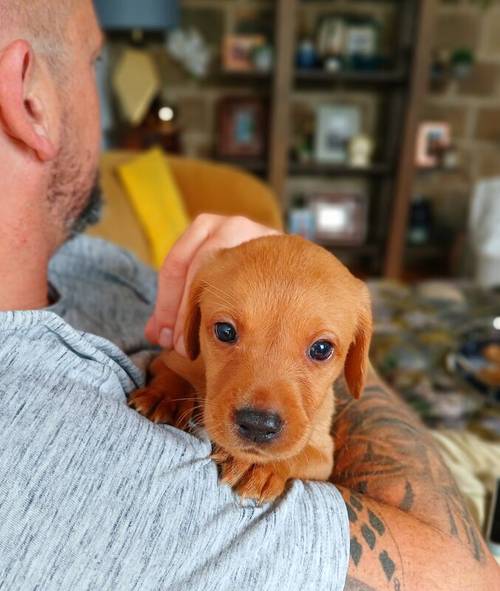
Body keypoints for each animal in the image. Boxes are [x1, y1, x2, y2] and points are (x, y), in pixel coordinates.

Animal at [129, 234, 372, 502]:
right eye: (225, 331)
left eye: (321, 348)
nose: (258, 425)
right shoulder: (171, 357)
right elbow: (172, 375)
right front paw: (164, 397)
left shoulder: (323, 453)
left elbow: (302, 454)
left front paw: (258, 464)